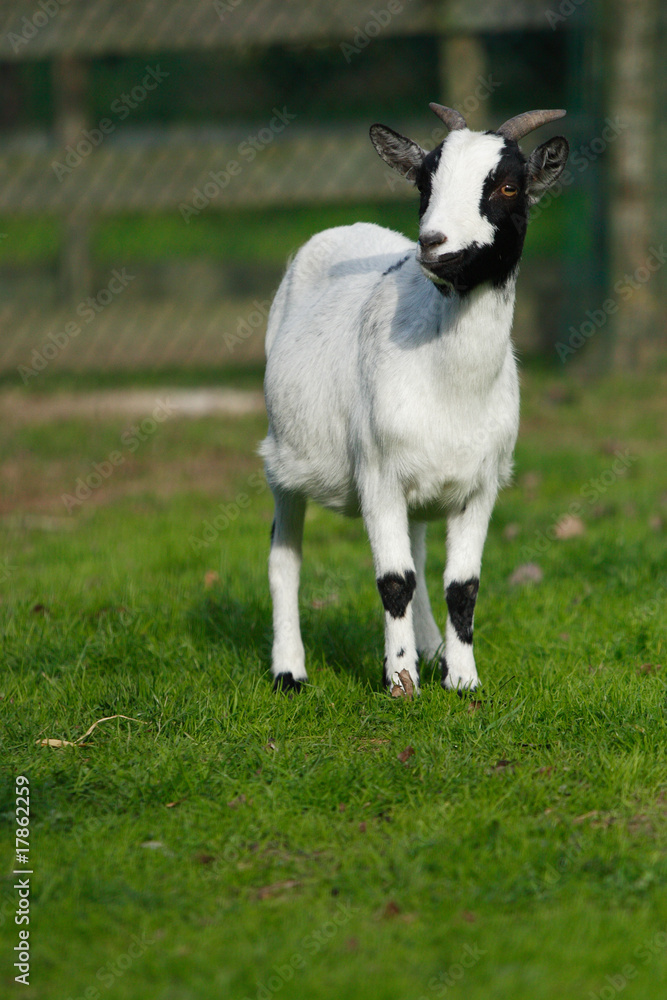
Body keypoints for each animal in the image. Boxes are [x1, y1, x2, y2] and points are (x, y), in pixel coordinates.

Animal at [260, 104, 568, 697]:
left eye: (508, 185)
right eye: (425, 182)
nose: (432, 243)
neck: (452, 385)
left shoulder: (481, 483)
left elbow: (462, 585)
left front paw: (463, 678)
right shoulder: (378, 474)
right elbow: (394, 580)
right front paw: (400, 681)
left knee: (422, 551)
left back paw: (431, 647)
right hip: (284, 454)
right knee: (285, 555)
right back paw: (290, 669)